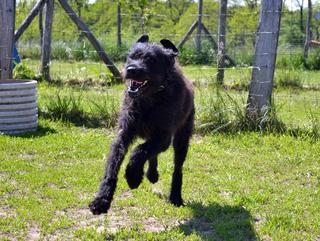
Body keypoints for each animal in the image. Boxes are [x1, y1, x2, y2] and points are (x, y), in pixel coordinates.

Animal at [90, 35, 195, 215]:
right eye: (131, 57)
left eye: (150, 60)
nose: (131, 69)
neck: (149, 99)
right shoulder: (123, 134)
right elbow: (112, 167)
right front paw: (102, 200)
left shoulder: (163, 137)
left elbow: (139, 151)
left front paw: (133, 176)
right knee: (152, 154)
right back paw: (152, 174)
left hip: (182, 139)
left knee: (177, 167)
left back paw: (175, 196)